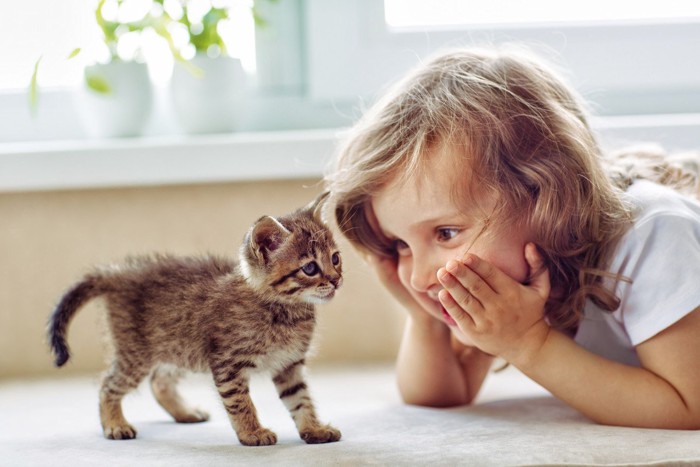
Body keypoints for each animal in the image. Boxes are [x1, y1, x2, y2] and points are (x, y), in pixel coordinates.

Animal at [47, 193, 344, 446]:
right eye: (310, 268)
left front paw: (313, 429)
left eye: (336, 258)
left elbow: (301, 399)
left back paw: (185, 413)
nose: (336, 280)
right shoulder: (227, 363)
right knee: (107, 385)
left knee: (159, 381)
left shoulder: (289, 364)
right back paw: (114, 424)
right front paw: (252, 432)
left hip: (178, 348)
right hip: (138, 354)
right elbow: (240, 402)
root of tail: (120, 272)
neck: (286, 312)